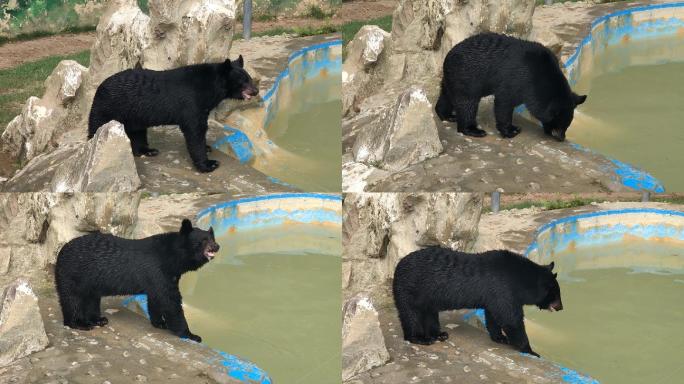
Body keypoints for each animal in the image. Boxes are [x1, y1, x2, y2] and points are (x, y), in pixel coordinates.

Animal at [55, 219, 219, 342]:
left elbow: (155, 297)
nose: (216, 246)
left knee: (91, 299)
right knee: (72, 299)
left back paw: (98, 319)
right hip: (73, 274)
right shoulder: (158, 270)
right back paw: (80, 323)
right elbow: (170, 301)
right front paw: (191, 334)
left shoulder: (165, 275)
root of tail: (61, 252)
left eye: (213, 238)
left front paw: (159, 322)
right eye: (204, 240)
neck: (172, 257)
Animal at [89, 55, 260, 172]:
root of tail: (101, 86)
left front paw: (207, 147)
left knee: (137, 132)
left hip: (133, 114)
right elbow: (194, 130)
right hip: (108, 106)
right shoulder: (191, 102)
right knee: (96, 126)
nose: (256, 91)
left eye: (249, 78)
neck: (210, 87)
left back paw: (147, 150)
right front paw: (208, 164)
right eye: (243, 80)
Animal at [392, 248, 564, 356]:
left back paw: (439, 334)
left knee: (430, 314)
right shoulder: (503, 289)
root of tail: (398, 265)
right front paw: (530, 350)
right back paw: (421, 338)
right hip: (409, 288)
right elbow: (510, 319)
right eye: (556, 294)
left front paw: (500, 337)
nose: (561, 307)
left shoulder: (494, 295)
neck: (520, 279)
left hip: (426, 296)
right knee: (411, 314)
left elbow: (493, 315)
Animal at [438, 33, 588, 141]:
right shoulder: (518, 79)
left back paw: (447, 115)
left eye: (567, 125)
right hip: (466, 76)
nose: (561, 137)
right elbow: (504, 102)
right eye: (558, 123)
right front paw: (511, 130)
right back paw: (473, 130)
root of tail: (447, 56)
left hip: (453, 77)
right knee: (467, 103)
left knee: (447, 95)